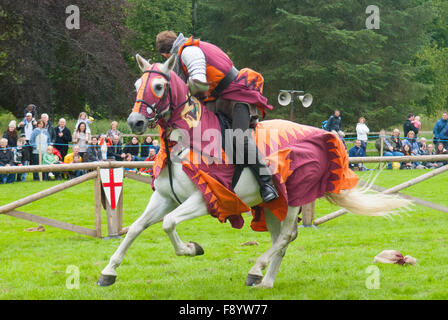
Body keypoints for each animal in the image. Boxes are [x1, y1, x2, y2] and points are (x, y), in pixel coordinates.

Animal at [98, 54, 410, 288]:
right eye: (137, 84)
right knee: (281, 239)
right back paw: (265, 281)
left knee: (285, 236)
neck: (184, 140)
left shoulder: (206, 199)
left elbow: (168, 223)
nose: (135, 122)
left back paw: (257, 270)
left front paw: (191, 248)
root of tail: (325, 136)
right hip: (272, 206)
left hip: (293, 199)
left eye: (159, 86)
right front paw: (108, 272)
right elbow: (136, 228)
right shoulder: (163, 198)